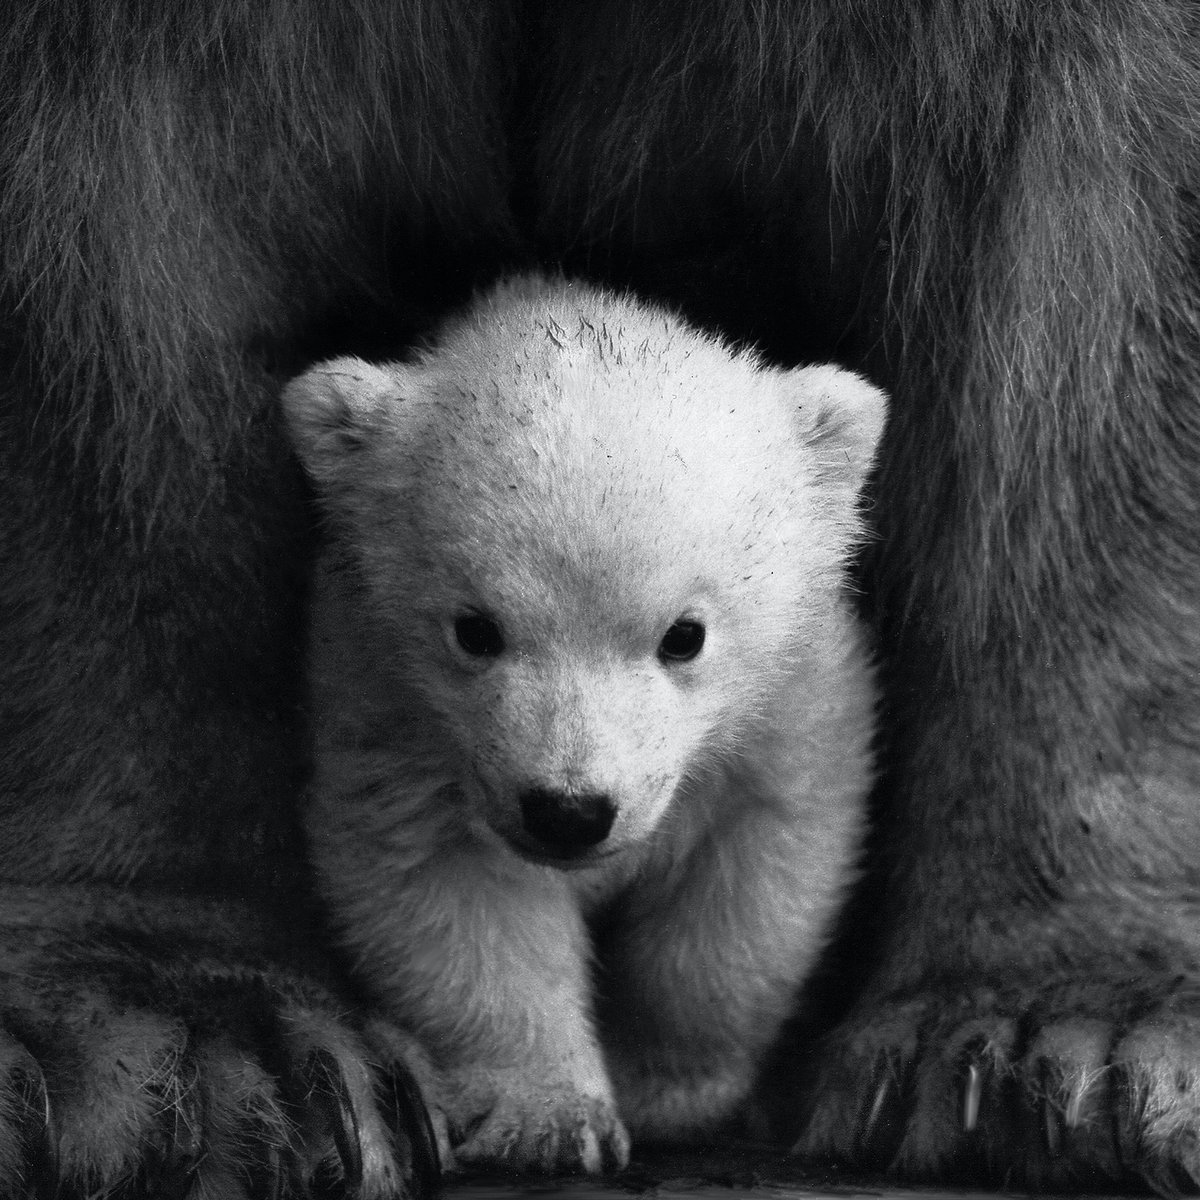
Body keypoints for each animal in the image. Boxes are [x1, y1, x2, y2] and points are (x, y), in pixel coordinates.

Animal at [280, 275, 885, 1174]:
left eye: (685, 635)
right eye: (475, 629)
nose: (568, 812)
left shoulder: (793, 707)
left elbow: (751, 880)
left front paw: (667, 1089)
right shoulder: (388, 710)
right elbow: (450, 889)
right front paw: (551, 1118)